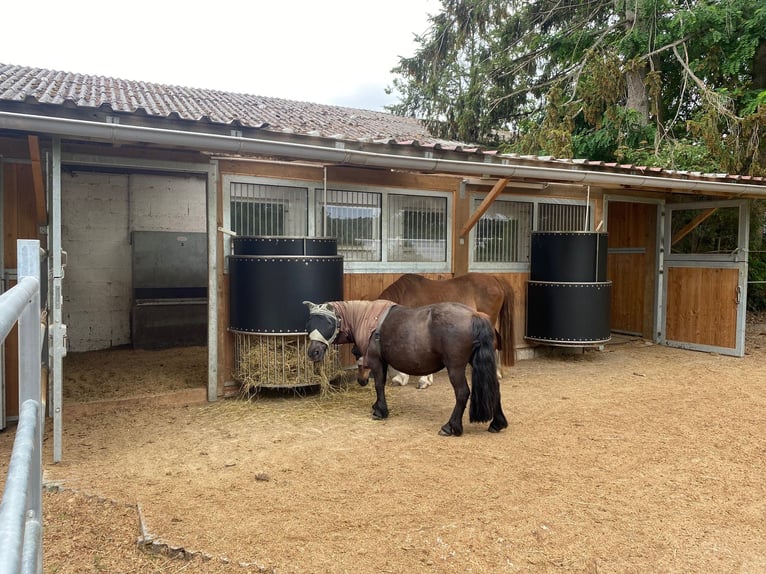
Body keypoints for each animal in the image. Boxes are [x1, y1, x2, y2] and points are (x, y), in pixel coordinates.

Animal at [304, 299, 508, 436]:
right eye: (309, 324)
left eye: (328, 323)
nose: (313, 352)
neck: (370, 321)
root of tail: (474, 315)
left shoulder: (377, 361)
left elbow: (379, 385)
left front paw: (380, 411)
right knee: (494, 388)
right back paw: (497, 423)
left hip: (455, 367)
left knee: (462, 392)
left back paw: (450, 426)